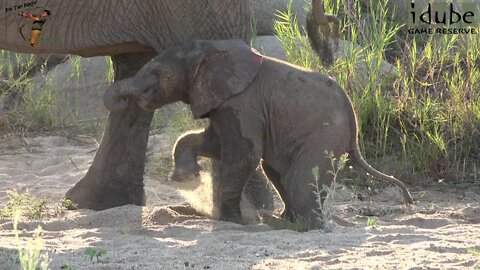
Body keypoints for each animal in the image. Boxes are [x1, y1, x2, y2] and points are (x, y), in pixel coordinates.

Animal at [102, 39, 412, 229]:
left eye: (154, 73)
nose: (120, 101)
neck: (209, 50)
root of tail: (354, 124)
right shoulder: (226, 103)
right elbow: (213, 143)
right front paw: (187, 179)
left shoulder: (243, 102)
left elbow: (243, 155)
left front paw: (232, 221)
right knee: (279, 173)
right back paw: (280, 220)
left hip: (325, 134)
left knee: (298, 178)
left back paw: (298, 226)